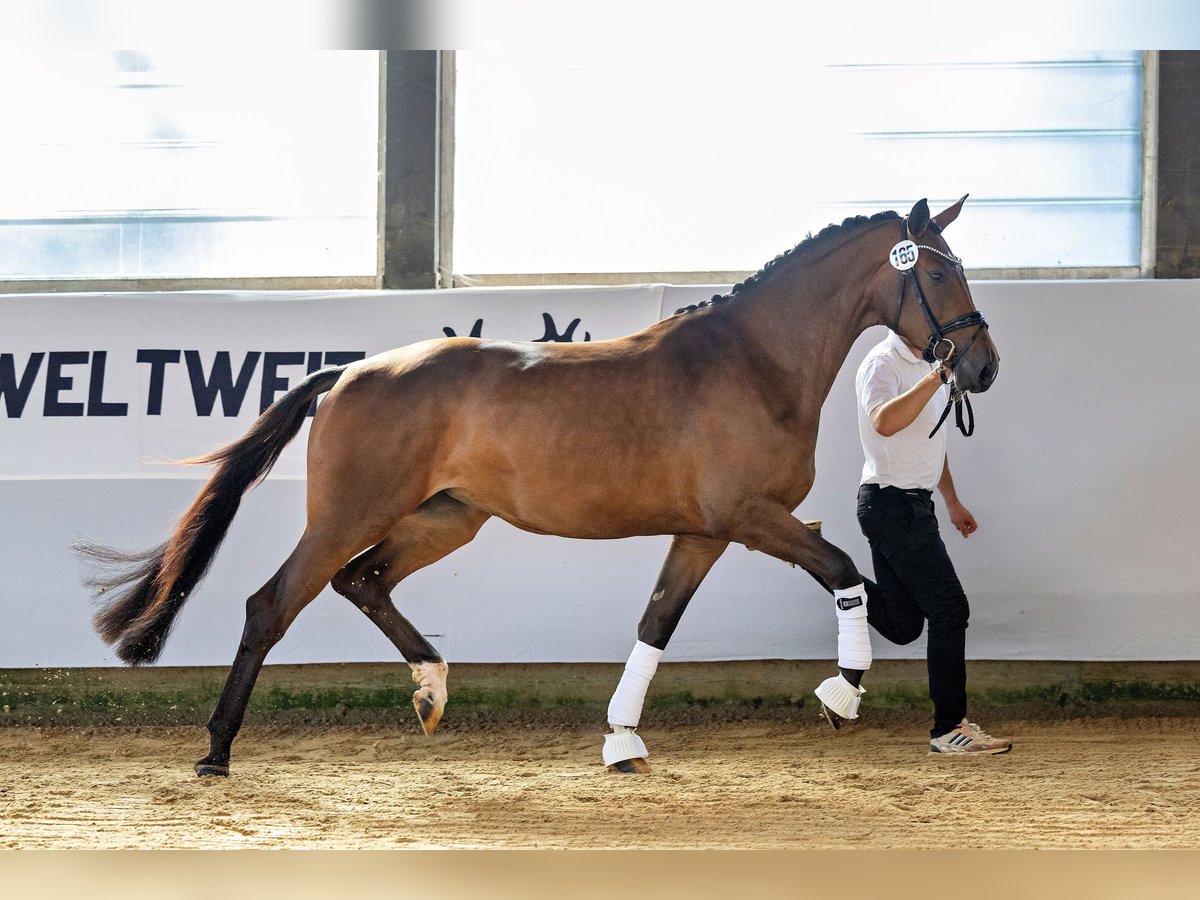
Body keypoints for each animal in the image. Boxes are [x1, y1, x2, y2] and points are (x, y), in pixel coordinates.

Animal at [72, 200, 993, 777]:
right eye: (939, 275)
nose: (981, 366)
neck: (754, 361)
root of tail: (349, 375)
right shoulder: (749, 516)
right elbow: (841, 568)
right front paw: (842, 693)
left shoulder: (704, 532)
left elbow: (656, 623)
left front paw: (622, 742)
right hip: (350, 514)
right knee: (274, 603)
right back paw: (216, 752)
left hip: (448, 519)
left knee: (362, 581)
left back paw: (431, 689)